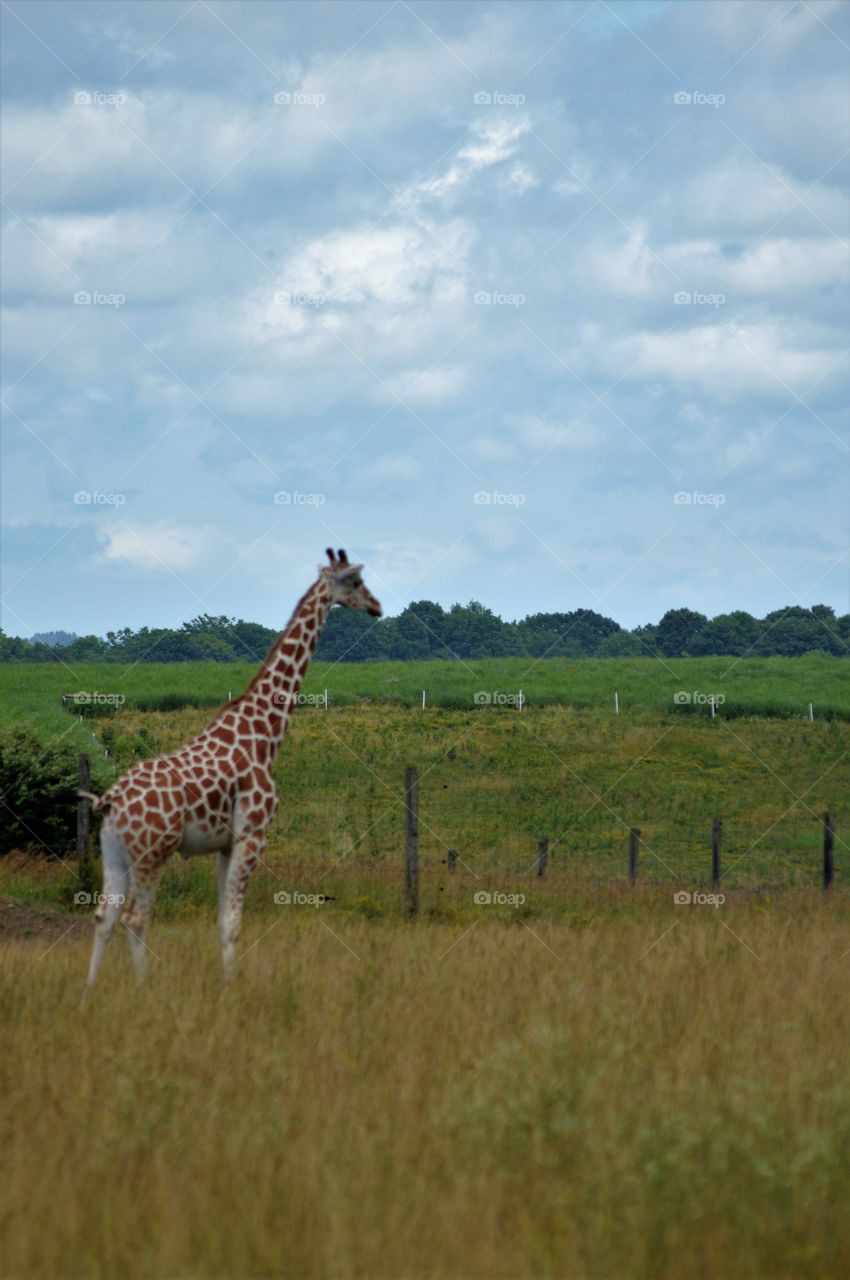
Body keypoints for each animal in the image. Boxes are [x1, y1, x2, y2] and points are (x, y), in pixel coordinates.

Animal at [81, 545, 381, 993]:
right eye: (357, 582)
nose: (378, 607)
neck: (265, 732)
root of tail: (111, 800)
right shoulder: (254, 834)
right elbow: (233, 923)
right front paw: (231, 990)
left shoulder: (224, 843)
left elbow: (221, 920)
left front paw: (227, 984)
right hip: (152, 852)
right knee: (136, 917)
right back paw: (143, 991)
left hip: (114, 853)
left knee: (105, 916)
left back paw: (89, 995)